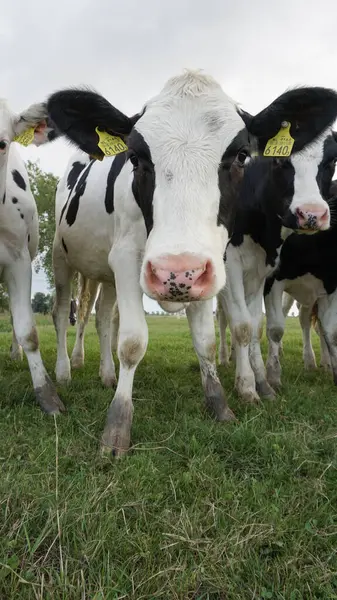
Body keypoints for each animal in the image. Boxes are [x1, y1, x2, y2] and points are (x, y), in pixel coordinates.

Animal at [214, 131, 336, 404]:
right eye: (280, 160)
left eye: (332, 161)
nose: (311, 214)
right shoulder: (239, 268)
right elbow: (256, 327)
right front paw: (254, 384)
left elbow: (256, 326)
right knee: (223, 320)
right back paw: (224, 359)